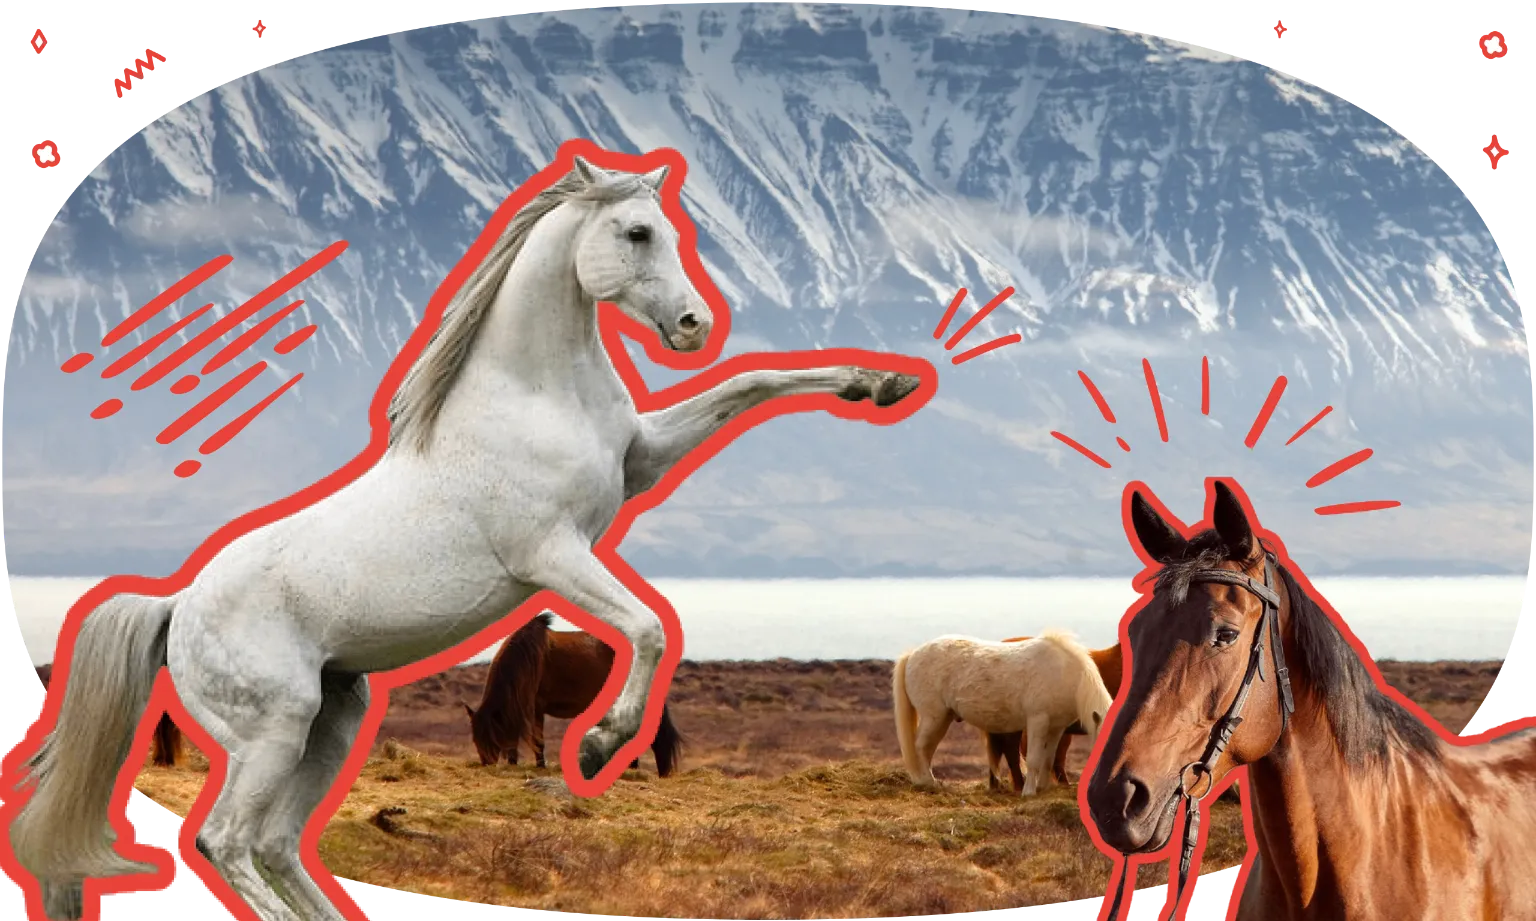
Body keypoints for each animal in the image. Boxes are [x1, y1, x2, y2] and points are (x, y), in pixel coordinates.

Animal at [463, 612, 685, 776]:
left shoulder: (535, 707)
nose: (486, 764)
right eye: (474, 739)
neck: (525, 659)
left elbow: (537, 740)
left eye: (488, 736)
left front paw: (540, 766)